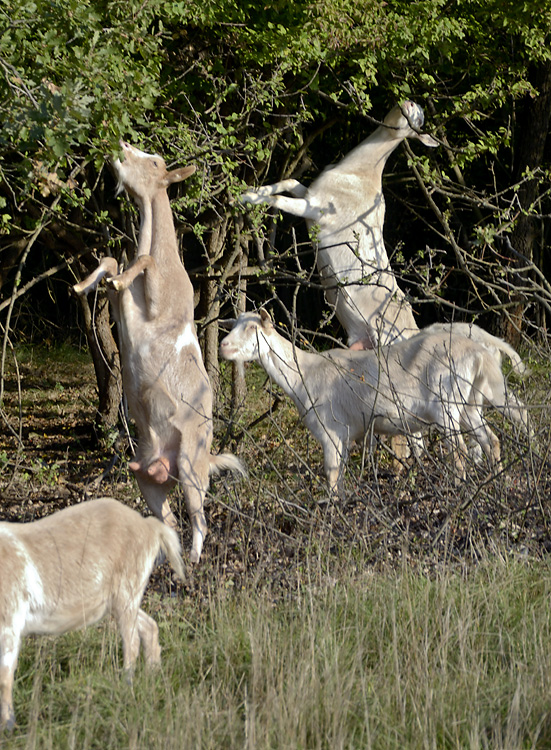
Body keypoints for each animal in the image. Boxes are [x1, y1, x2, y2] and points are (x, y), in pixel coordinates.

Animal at [0, 500, 185, 736]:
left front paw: (7, 726)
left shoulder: (10, 621)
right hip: (120, 601)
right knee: (149, 627)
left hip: (127, 590)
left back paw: (126, 689)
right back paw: (151, 679)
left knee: (132, 642)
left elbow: (5, 677)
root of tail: (150, 527)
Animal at [73, 142, 244, 564]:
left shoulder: (159, 300)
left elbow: (141, 261)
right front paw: (83, 285)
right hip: (145, 480)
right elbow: (113, 263)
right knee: (167, 521)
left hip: (190, 466)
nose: (120, 146)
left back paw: (195, 561)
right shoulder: (124, 308)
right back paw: (168, 562)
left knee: (198, 518)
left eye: (154, 161)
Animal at [220, 308, 532, 490]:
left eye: (252, 328)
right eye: (233, 325)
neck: (303, 376)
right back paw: (497, 483)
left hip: (448, 403)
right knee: (491, 439)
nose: (224, 345)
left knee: (460, 451)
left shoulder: (331, 430)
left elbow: (332, 478)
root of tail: (480, 353)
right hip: (471, 403)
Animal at [239, 101, 438, 352]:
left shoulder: (317, 208)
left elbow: (279, 200)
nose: (409, 103)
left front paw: (242, 198)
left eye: (419, 123)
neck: (358, 173)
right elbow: (290, 182)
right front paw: (250, 189)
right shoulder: (310, 194)